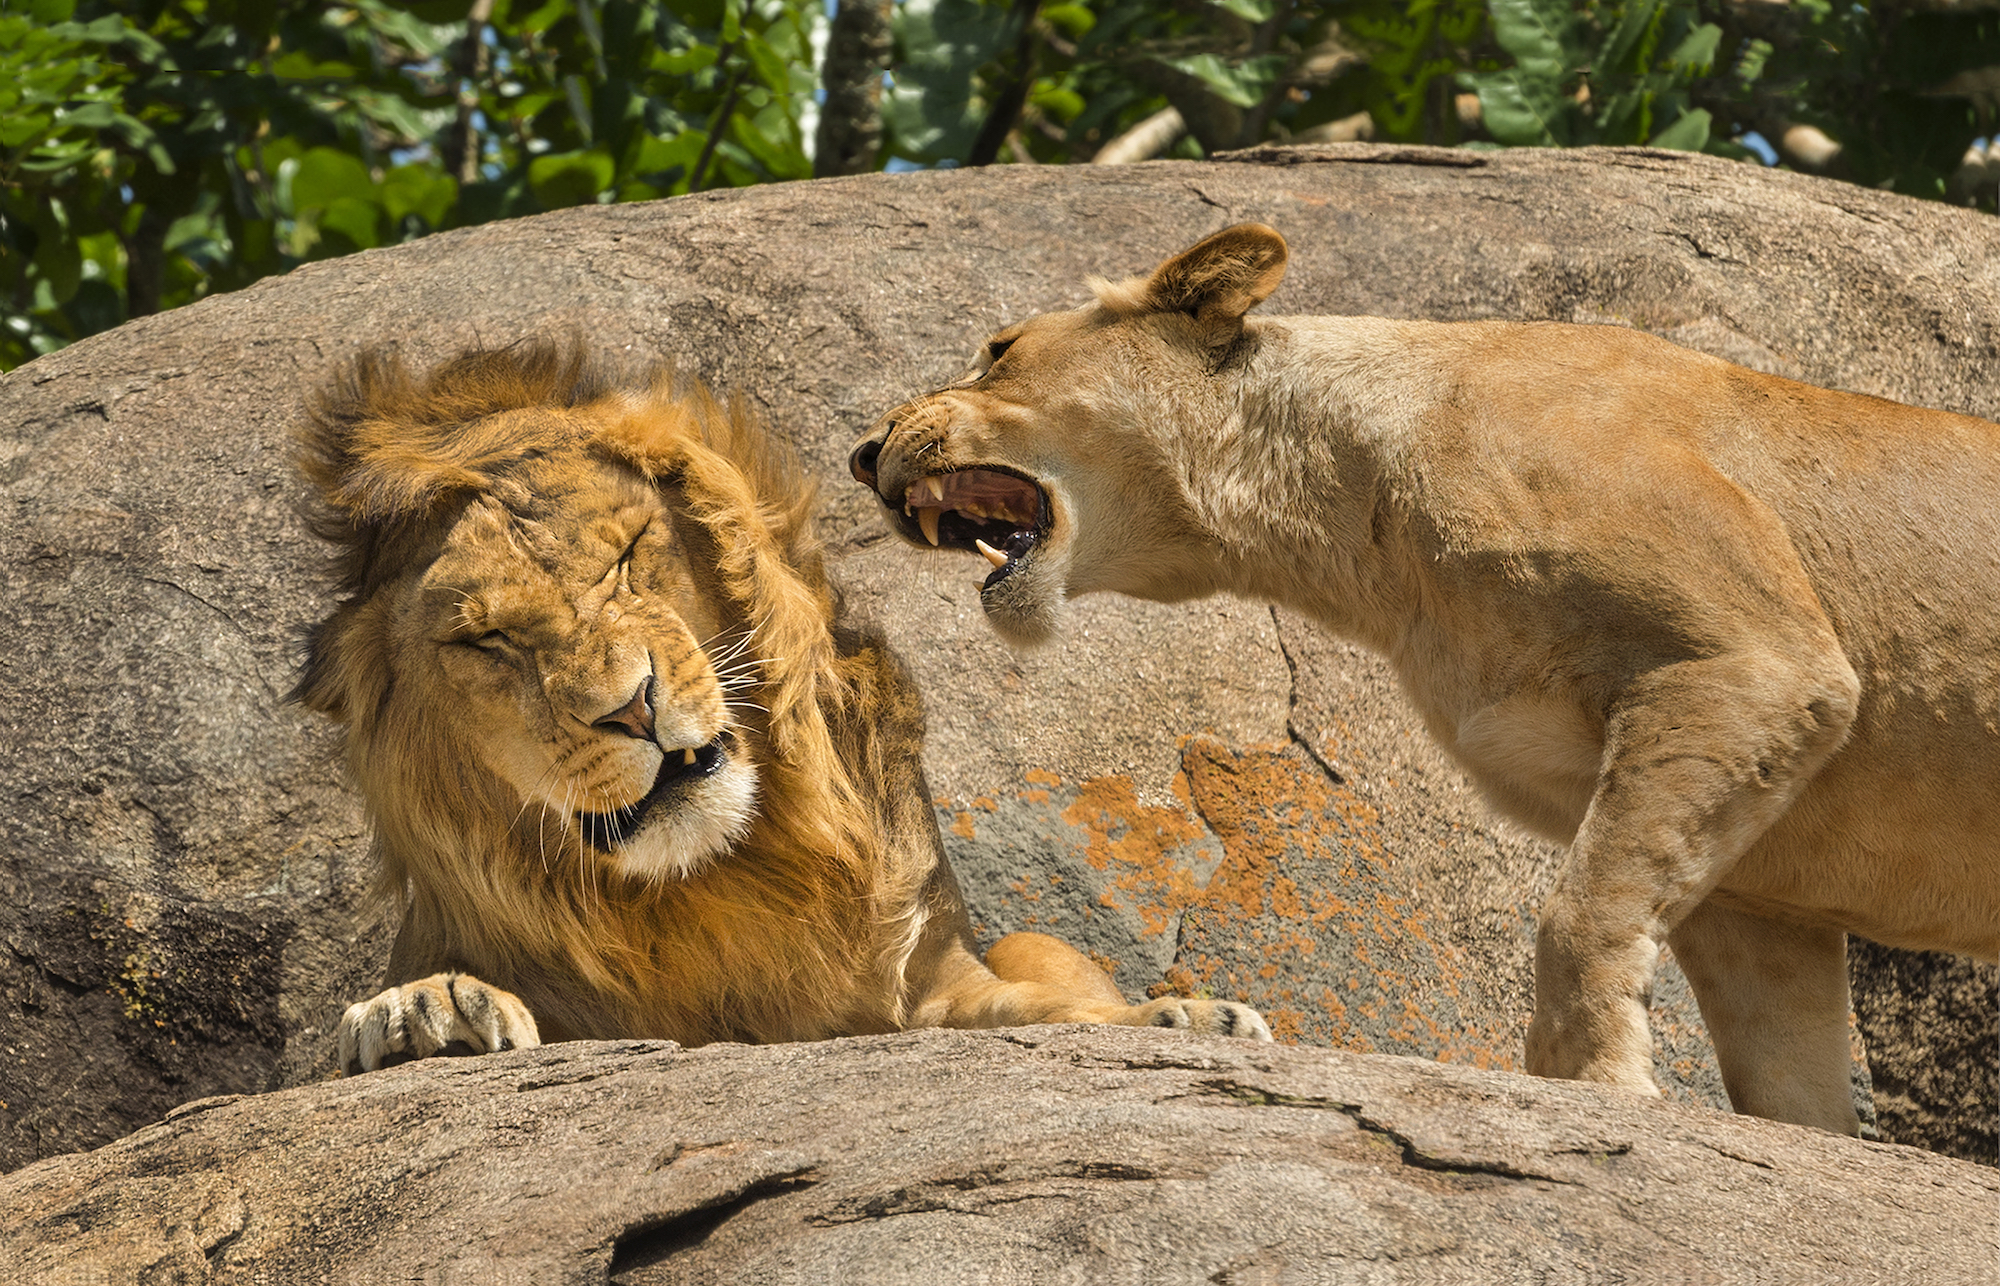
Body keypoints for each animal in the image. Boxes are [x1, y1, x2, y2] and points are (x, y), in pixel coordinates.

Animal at [292, 338, 1264, 1072]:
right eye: (484, 641)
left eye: (626, 556)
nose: (632, 708)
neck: (719, 882)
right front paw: (423, 1012)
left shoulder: (929, 979)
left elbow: (1035, 1010)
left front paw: (1182, 1018)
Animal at [852, 226, 2000, 1136]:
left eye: (999, 350)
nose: (864, 451)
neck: (1355, 522)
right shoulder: (1760, 881)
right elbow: (1783, 1070)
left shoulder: (1754, 662)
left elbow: (1580, 912)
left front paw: (1591, 1088)